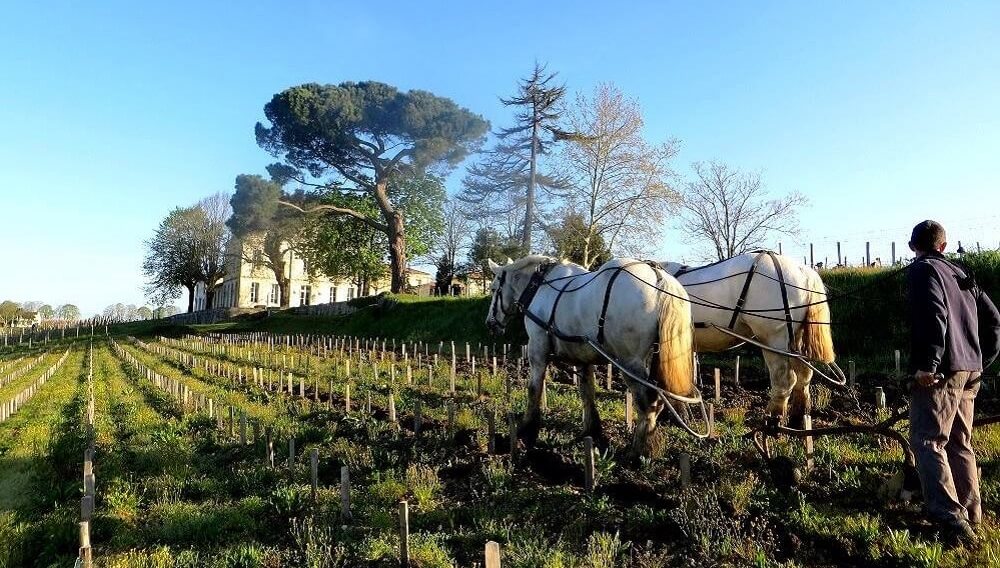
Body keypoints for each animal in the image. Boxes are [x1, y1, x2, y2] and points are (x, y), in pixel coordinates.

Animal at [490, 254, 696, 458]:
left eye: (493, 289)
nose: (490, 323)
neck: (540, 287)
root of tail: (657, 275)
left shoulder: (537, 350)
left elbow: (534, 389)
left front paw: (526, 431)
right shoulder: (583, 357)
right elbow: (587, 391)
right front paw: (591, 431)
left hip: (629, 361)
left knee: (647, 401)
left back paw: (638, 452)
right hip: (656, 359)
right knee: (659, 398)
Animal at [660, 251, 840, 428]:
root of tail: (803, 271)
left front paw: (678, 415)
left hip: (773, 340)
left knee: (785, 380)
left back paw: (772, 421)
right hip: (795, 340)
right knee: (803, 377)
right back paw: (798, 419)